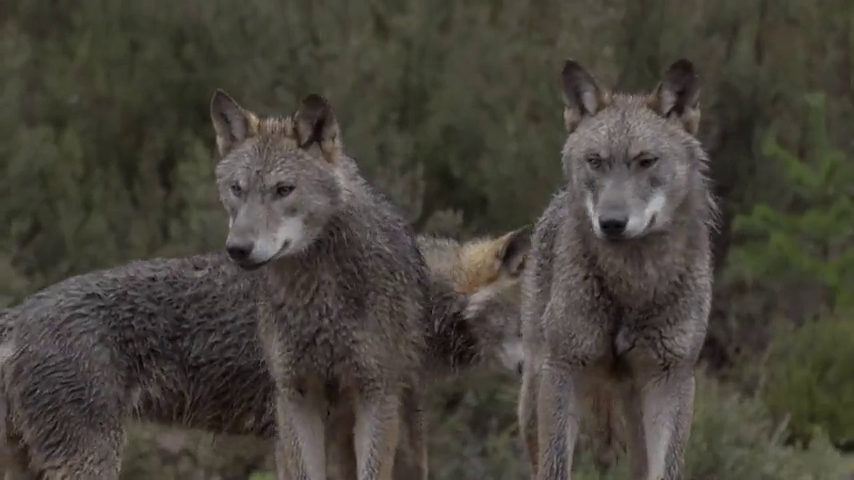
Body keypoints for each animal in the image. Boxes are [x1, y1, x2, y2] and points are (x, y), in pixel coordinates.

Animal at [518, 58, 717, 480]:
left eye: (646, 161)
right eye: (595, 161)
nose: (611, 223)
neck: (631, 284)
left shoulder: (671, 379)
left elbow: (667, 469)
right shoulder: (564, 370)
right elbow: (555, 466)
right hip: (534, 398)